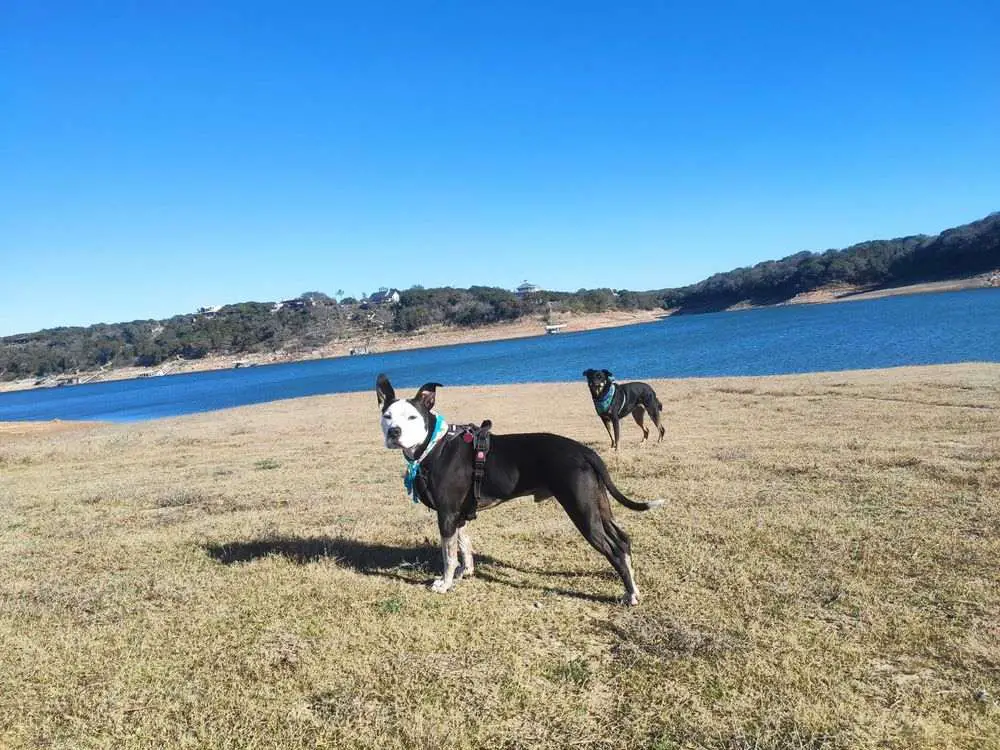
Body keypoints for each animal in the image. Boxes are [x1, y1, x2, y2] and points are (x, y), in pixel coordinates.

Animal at [376, 374, 664, 608]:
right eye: (387, 416)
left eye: (412, 417)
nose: (394, 432)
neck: (433, 445)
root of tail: (585, 451)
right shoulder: (458, 515)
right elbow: (464, 545)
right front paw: (465, 572)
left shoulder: (446, 514)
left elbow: (448, 555)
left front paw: (445, 584)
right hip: (597, 505)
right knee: (623, 541)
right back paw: (631, 586)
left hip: (582, 511)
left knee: (613, 549)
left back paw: (631, 595)